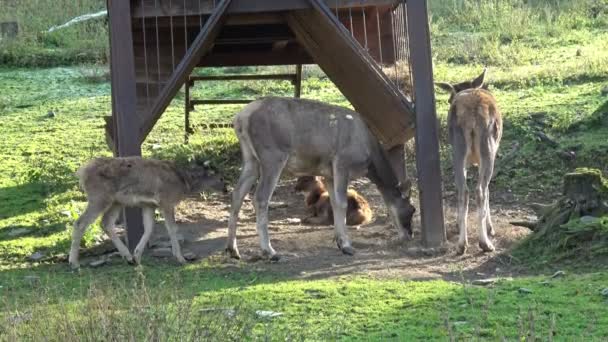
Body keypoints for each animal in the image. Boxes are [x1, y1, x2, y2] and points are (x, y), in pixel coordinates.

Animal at [67, 156, 228, 268]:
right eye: (221, 177)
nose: (226, 190)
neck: (184, 183)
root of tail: (82, 173)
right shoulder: (166, 201)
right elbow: (172, 229)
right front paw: (180, 258)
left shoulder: (149, 205)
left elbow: (149, 228)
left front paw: (137, 257)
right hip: (99, 197)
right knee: (80, 223)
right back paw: (74, 262)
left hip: (116, 202)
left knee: (105, 223)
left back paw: (128, 257)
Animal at [226, 96, 416, 260]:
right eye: (412, 209)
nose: (409, 234)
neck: (370, 160)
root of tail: (240, 118)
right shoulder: (342, 162)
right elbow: (342, 203)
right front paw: (347, 245)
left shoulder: (328, 174)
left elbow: (334, 202)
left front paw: (339, 241)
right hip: (272, 156)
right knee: (260, 198)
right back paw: (270, 251)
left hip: (250, 159)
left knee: (237, 193)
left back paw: (232, 249)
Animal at [436, 69, 504, 255]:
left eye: (449, 99)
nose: (448, 101)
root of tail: (472, 115)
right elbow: (488, 191)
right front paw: (490, 228)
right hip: (488, 147)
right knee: (480, 190)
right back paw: (485, 243)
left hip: (457, 148)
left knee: (463, 191)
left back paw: (461, 244)